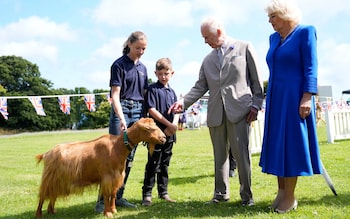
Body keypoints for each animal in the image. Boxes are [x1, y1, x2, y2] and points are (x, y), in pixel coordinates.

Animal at [34, 117, 166, 218]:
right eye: (149, 128)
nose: (164, 138)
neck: (117, 147)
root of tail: (47, 153)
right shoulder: (107, 177)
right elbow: (106, 195)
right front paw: (108, 213)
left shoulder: (116, 177)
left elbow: (113, 194)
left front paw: (114, 210)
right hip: (50, 178)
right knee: (43, 195)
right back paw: (39, 214)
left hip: (58, 180)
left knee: (53, 194)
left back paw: (51, 211)